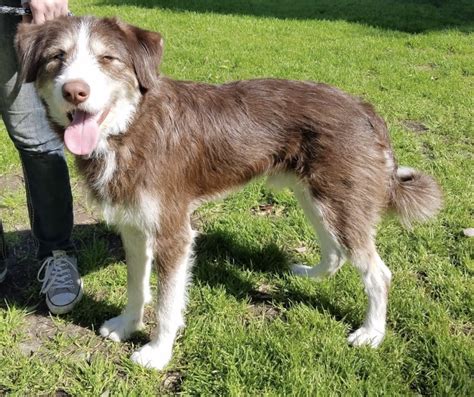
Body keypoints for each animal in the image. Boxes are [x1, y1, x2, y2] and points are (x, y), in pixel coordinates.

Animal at [15, 15, 444, 368]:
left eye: (107, 58)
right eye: (56, 57)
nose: (75, 91)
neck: (130, 126)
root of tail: (363, 107)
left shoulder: (174, 233)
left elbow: (168, 304)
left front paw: (157, 353)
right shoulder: (134, 228)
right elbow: (136, 286)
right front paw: (126, 324)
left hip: (339, 202)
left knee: (378, 273)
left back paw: (372, 332)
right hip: (317, 198)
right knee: (337, 251)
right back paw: (311, 273)